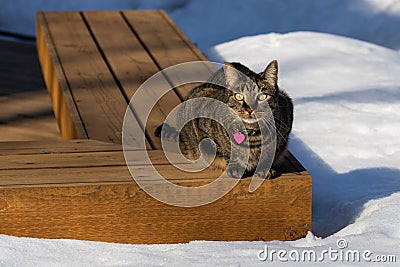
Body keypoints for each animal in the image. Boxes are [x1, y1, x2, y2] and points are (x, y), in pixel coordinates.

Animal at [155, 59, 292, 179]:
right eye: (239, 96)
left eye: (262, 96)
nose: (249, 109)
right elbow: (226, 151)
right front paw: (236, 167)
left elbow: (269, 154)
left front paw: (264, 168)